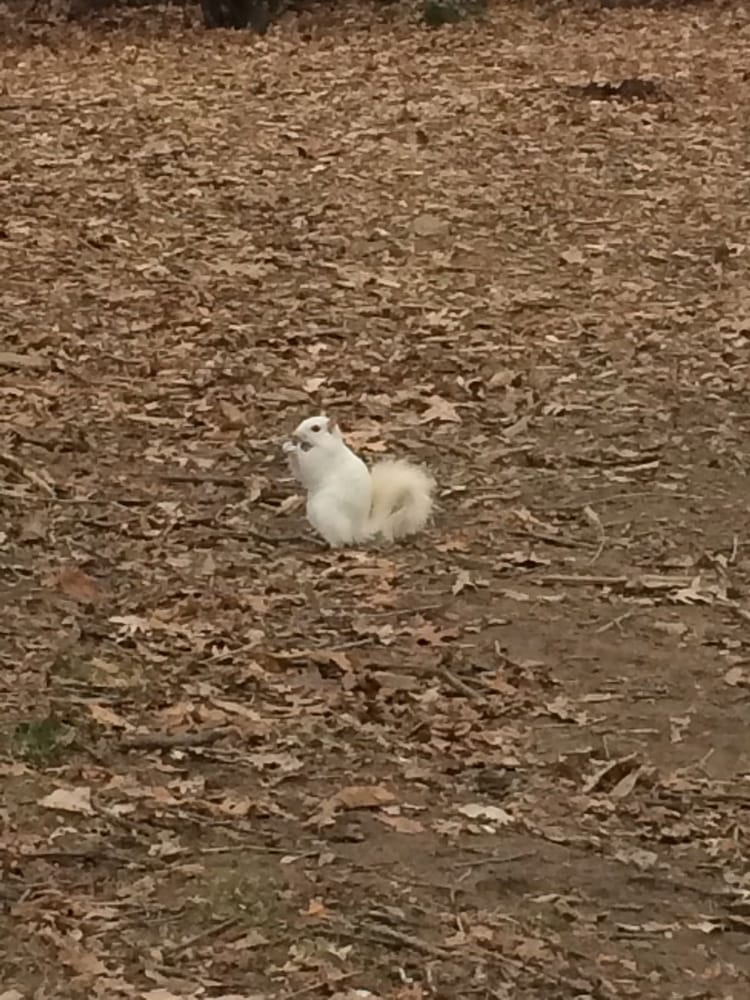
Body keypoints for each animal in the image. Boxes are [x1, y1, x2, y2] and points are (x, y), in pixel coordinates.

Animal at [282, 414, 434, 548]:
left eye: (315, 428)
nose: (294, 434)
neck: (324, 442)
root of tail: (358, 530)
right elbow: (301, 475)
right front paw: (287, 446)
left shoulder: (323, 457)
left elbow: (308, 466)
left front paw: (295, 450)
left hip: (326, 513)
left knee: (341, 541)